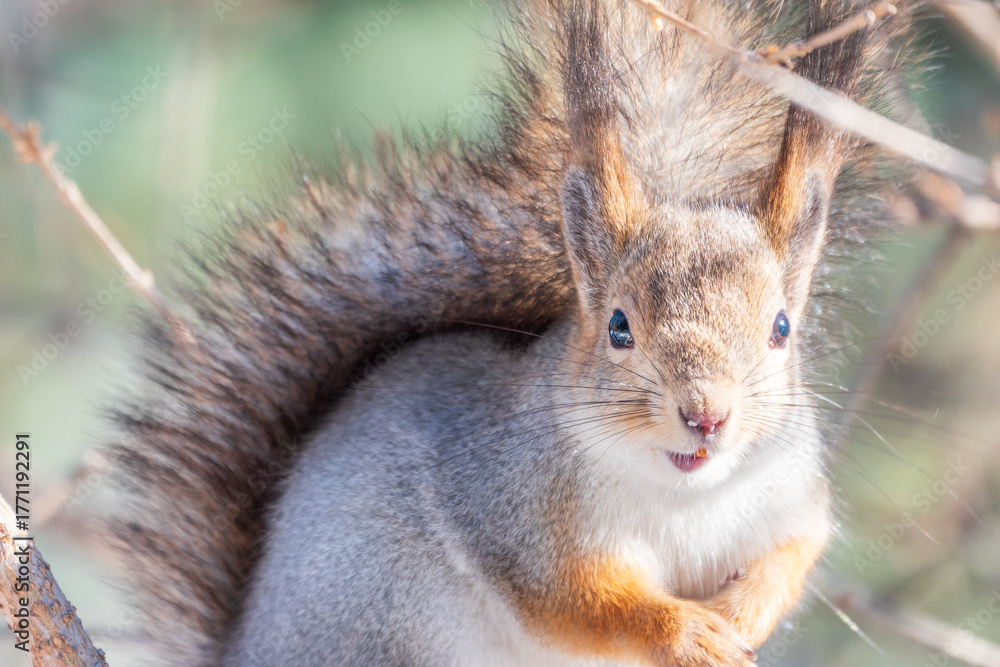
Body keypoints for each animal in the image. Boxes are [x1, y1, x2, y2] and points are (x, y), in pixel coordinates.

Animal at [97, 0, 912, 665]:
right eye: (619, 327)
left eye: (781, 327)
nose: (706, 415)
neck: (683, 496)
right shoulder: (507, 508)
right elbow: (584, 602)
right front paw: (684, 632)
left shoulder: (789, 492)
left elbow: (794, 552)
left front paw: (743, 614)